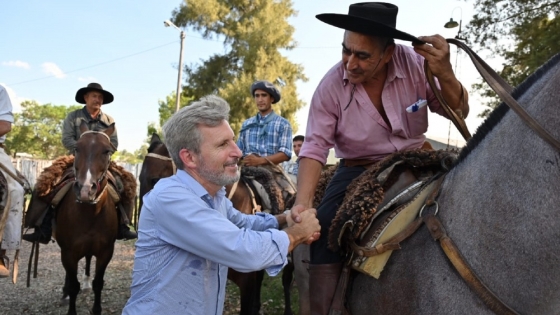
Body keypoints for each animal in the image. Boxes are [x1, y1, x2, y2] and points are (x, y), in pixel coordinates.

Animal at [55, 121, 119, 315]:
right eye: (77, 148)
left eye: (107, 150)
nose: (85, 190)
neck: (90, 214)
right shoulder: (68, 253)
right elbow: (73, 284)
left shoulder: (106, 252)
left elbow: (98, 283)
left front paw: (96, 309)